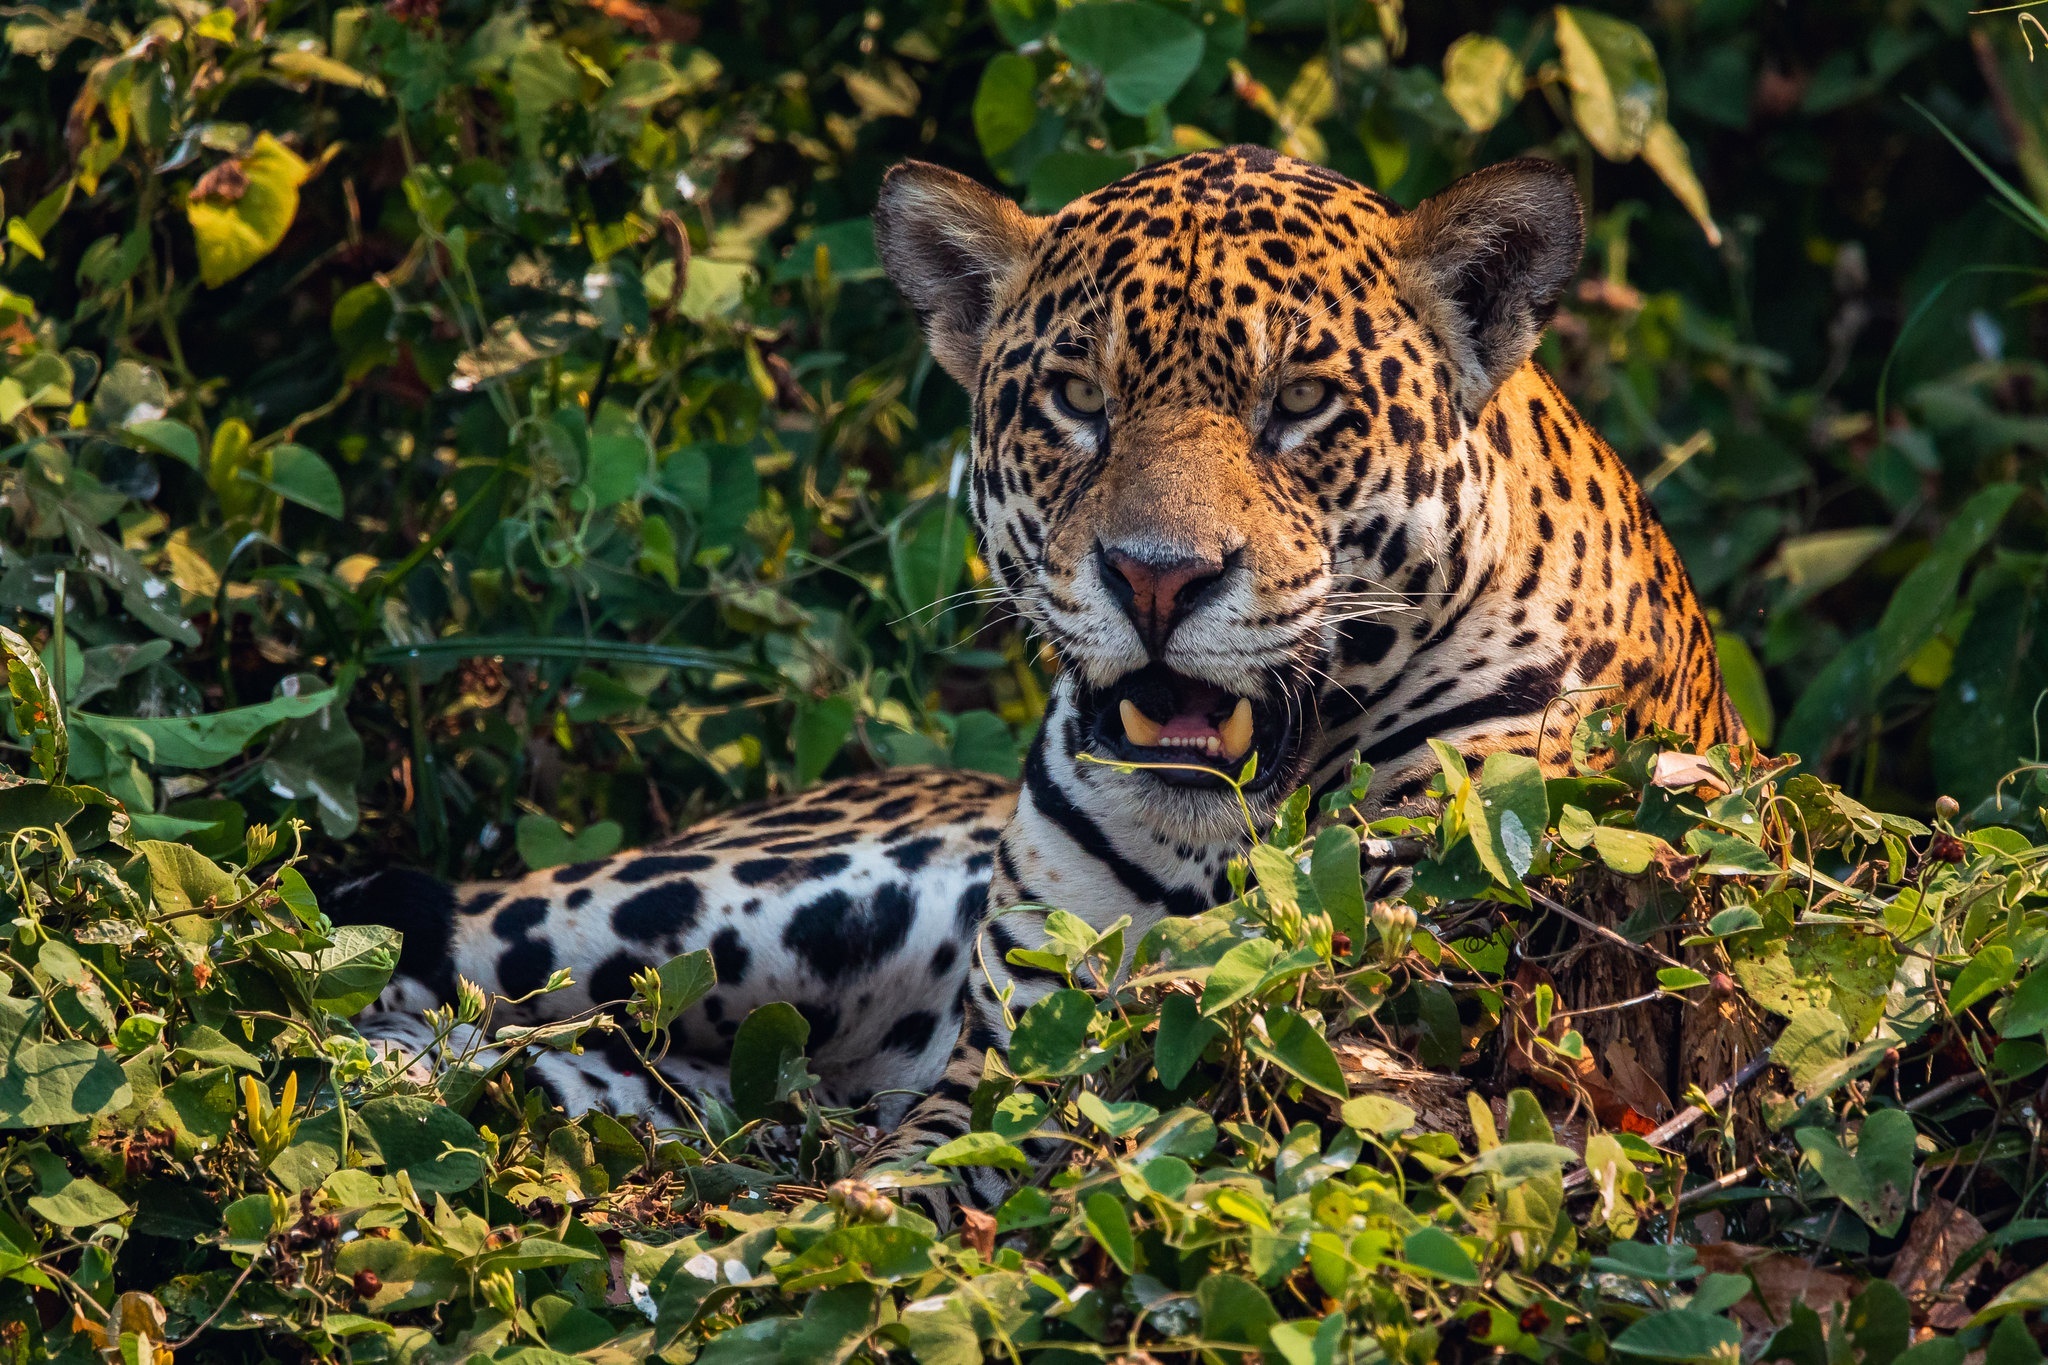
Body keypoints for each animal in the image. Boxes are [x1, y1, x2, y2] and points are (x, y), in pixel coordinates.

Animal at [336, 145, 1743, 1206]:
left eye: (1300, 405)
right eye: (1075, 398)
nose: (1158, 579)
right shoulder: (1016, 1047)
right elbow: (913, 1184)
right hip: (687, 907)